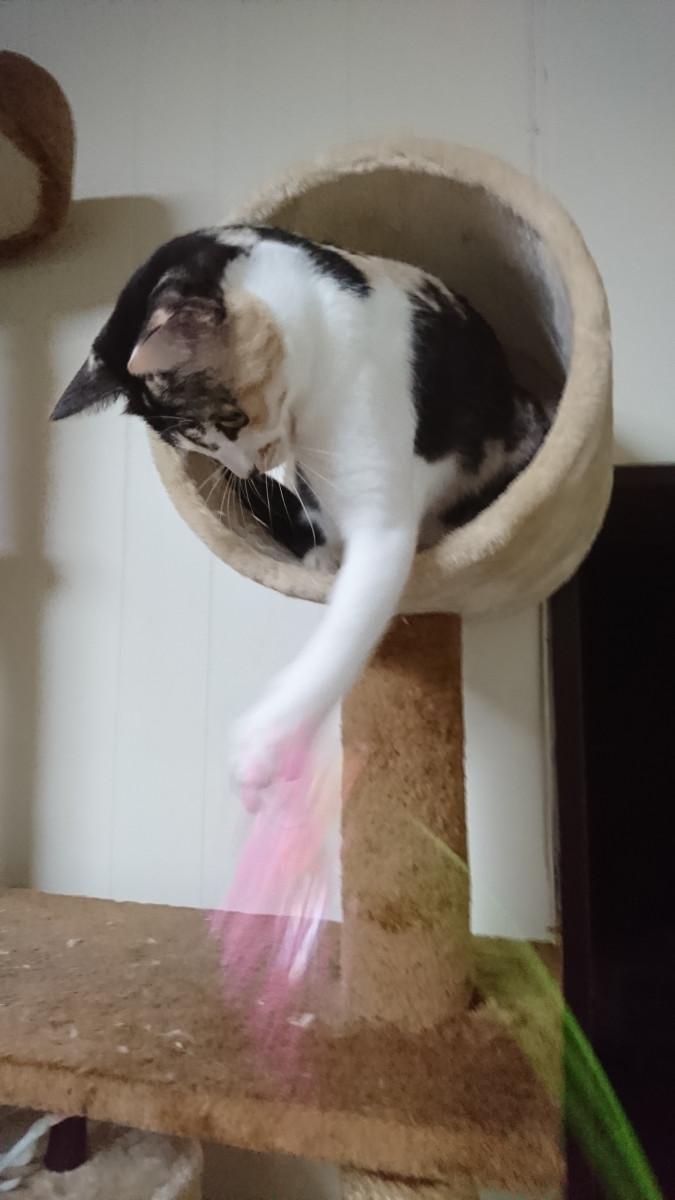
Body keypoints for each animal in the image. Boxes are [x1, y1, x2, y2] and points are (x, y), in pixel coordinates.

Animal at [52, 224, 551, 806]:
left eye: (231, 419)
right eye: (194, 444)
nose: (242, 468)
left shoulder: (381, 515)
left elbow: (348, 624)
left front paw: (264, 743)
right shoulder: (314, 480)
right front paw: (321, 560)